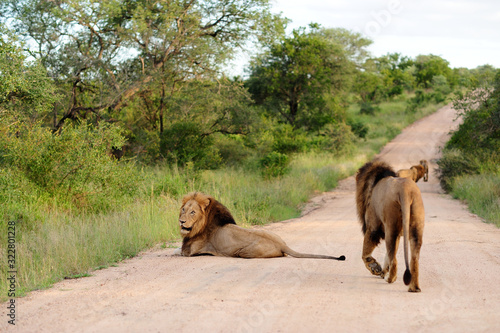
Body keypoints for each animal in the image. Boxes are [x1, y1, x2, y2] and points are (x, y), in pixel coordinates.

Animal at [175, 192, 344, 260]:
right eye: (183, 210)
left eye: (192, 212)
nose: (181, 221)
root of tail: (281, 244)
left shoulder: (189, 252)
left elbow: (176, 251)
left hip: (244, 252)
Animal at [354, 161, 424, 290]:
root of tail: (405, 191)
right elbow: (387, 255)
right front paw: (382, 271)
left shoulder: (373, 227)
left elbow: (365, 252)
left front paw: (375, 267)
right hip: (416, 229)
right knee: (414, 259)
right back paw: (414, 288)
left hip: (391, 227)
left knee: (394, 260)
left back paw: (390, 279)